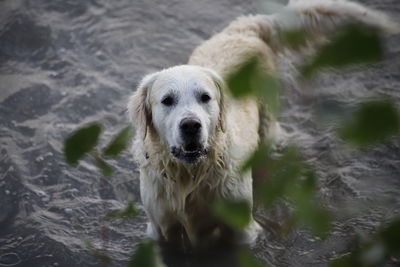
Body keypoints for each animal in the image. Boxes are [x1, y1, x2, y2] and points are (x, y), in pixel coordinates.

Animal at [127, 0, 394, 249]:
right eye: (167, 100)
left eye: (205, 97)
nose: (191, 125)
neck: (191, 177)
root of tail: (245, 28)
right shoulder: (161, 228)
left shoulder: (243, 229)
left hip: (267, 129)